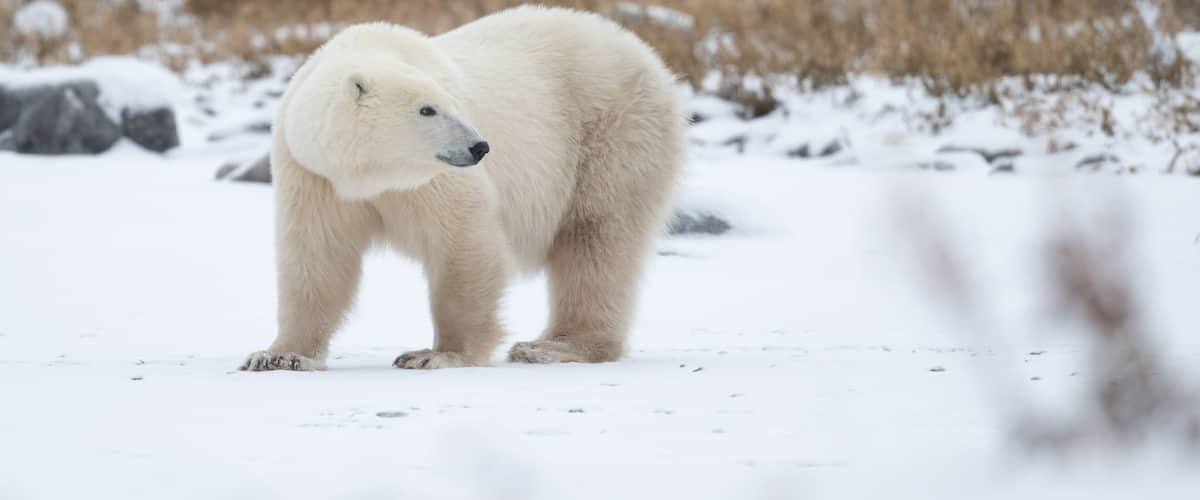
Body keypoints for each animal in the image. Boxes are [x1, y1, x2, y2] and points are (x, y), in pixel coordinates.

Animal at [240, 5, 685, 371]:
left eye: (454, 103)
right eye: (427, 109)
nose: (480, 146)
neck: (367, 175)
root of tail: (649, 58)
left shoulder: (430, 179)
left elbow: (463, 241)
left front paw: (436, 354)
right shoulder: (312, 175)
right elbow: (317, 255)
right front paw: (279, 355)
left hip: (612, 131)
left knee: (595, 238)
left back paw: (554, 346)